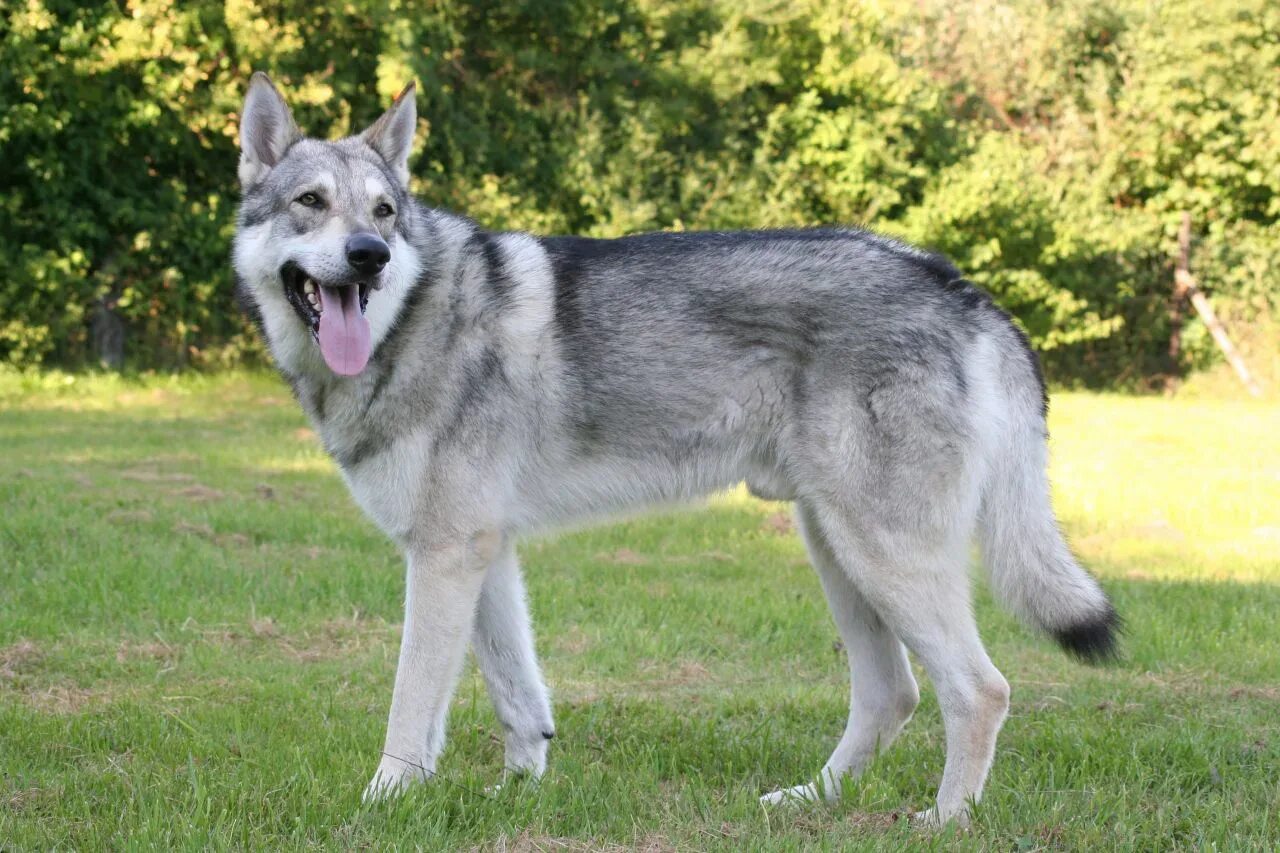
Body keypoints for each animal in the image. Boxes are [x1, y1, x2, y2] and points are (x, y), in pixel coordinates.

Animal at [232, 74, 1121, 824]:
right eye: (311, 202)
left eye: (384, 212)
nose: (369, 256)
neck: (412, 320)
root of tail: (959, 286)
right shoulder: (482, 550)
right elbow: (520, 698)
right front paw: (516, 791)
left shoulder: (448, 553)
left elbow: (412, 706)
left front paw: (382, 802)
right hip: (837, 550)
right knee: (891, 695)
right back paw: (807, 800)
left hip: (882, 557)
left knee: (981, 689)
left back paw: (944, 820)